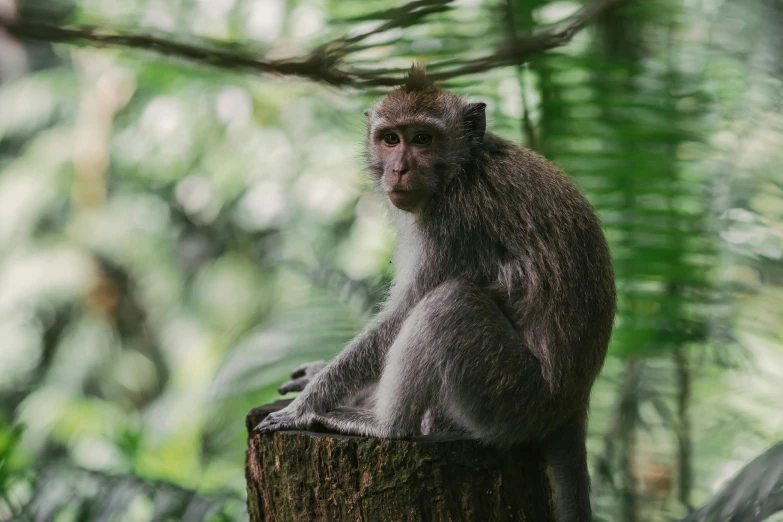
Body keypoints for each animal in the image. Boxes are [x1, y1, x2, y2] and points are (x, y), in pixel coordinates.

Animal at [258, 66, 620, 520]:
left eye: (422, 139)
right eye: (390, 139)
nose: (398, 170)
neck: (463, 168)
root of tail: (575, 401)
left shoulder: (455, 223)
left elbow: (405, 313)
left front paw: (305, 406)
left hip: (515, 398)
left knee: (449, 305)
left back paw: (389, 427)